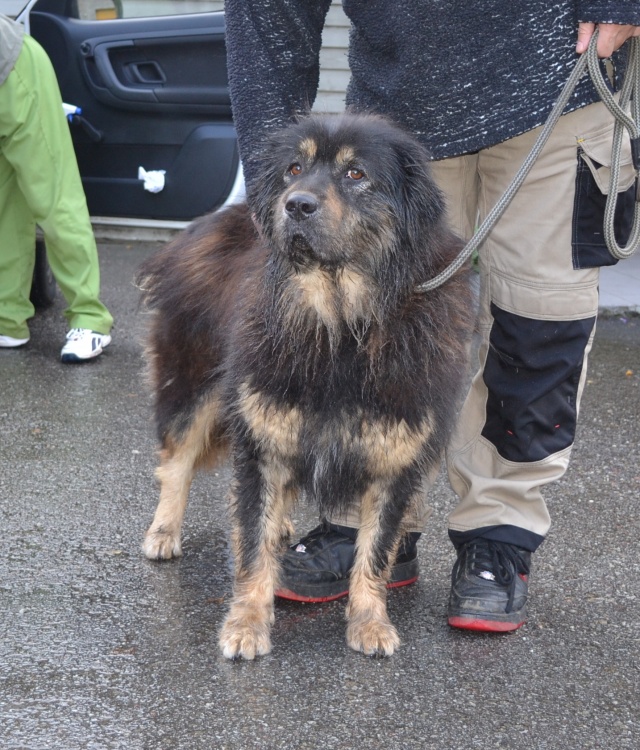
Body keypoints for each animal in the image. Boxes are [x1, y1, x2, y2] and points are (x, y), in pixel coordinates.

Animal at [137, 113, 474, 659]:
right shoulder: (261, 438)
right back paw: (164, 530)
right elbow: (251, 546)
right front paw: (247, 624)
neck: (340, 323)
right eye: (295, 168)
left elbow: (375, 550)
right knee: (177, 462)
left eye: (356, 174)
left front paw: (369, 621)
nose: (295, 204)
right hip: (194, 383)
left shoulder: (396, 458)